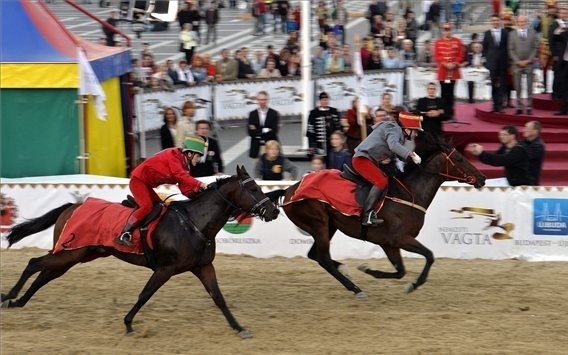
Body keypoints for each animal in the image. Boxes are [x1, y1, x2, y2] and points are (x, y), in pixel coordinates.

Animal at [0, 167, 280, 340]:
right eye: (253, 189)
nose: (274, 211)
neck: (194, 223)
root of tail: (72, 206)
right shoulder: (165, 269)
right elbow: (145, 294)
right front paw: (128, 324)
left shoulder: (203, 267)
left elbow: (219, 298)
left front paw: (239, 328)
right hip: (70, 253)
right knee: (33, 263)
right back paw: (8, 296)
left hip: (73, 255)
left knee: (44, 274)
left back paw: (19, 301)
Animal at [268, 136, 486, 298]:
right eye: (460, 159)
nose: (482, 178)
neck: (408, 195)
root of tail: (289, 190)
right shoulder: (400, 239)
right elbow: (429, 256)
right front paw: (413, 284)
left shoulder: (389, 244)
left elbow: (400, 271)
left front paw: (369, 270)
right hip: (318, 224)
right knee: (324, 259)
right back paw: (355, 288)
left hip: (329, 226)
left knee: (316, 256)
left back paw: (346, 271)